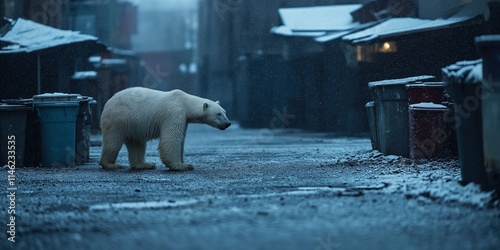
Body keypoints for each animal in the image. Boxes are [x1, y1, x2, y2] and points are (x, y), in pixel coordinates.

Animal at [100, 87, 232, 171]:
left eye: (225, 112)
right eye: (218, 114)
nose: (228, 123)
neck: (184, 102)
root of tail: (108, 103)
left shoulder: (184, 119)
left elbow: (181, 140)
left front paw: (183, 162)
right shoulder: (174, 113)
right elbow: (171, 139)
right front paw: (182, 166)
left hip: (132, 125)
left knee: (136, 143)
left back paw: (145, 164)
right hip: (117, 119)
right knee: (113, 142)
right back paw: (111, 164)